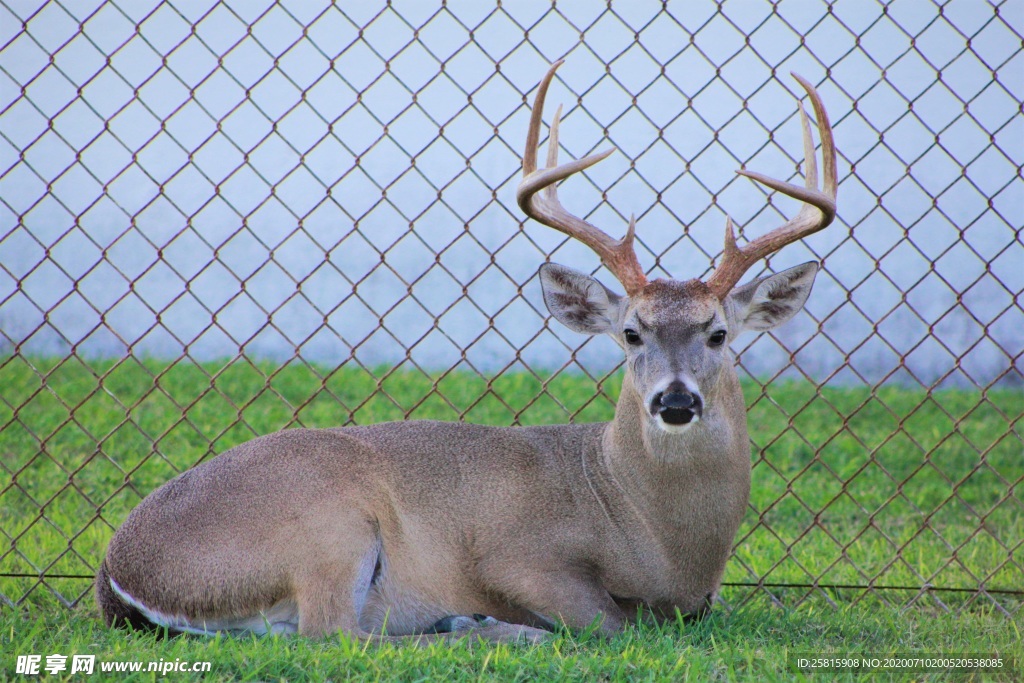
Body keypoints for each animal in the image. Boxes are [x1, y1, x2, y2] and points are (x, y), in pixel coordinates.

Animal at [94, 60, 831, 647]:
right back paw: (478, 626)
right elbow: (610, 621)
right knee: (334, 633)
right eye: (631, 333)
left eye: (718, 333)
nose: (675, 401)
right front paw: (501, 619)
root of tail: (117, 573)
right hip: (325, 520)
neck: (655, 535)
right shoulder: (516, 553)